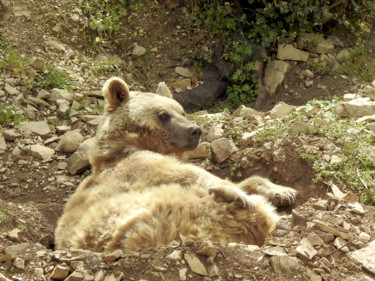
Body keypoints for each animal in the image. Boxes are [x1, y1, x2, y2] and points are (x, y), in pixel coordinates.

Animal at [55, 76, 296, 252]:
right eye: (163, 115)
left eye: (182, 110)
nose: (195, 130)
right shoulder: (136, 164)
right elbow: (188, 174)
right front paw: (243, 196)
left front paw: (283, 191)